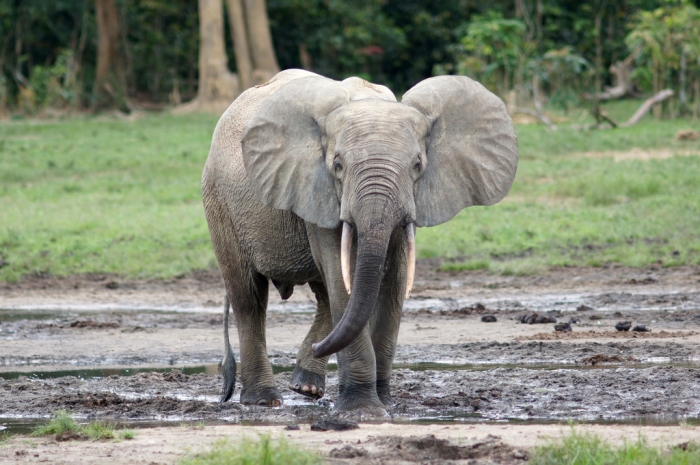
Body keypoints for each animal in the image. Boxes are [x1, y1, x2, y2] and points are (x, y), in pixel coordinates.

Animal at [200, 69, 516, 410]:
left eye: (417, 165)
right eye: (338, 165)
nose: (320, 347)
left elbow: (393, 281)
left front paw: (385, 402)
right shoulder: (318, 190)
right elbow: (345, 279)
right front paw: (363, 410)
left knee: (325, 295)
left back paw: (306, 387)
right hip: (219, 203)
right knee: (249, 298)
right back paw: (264, 399)